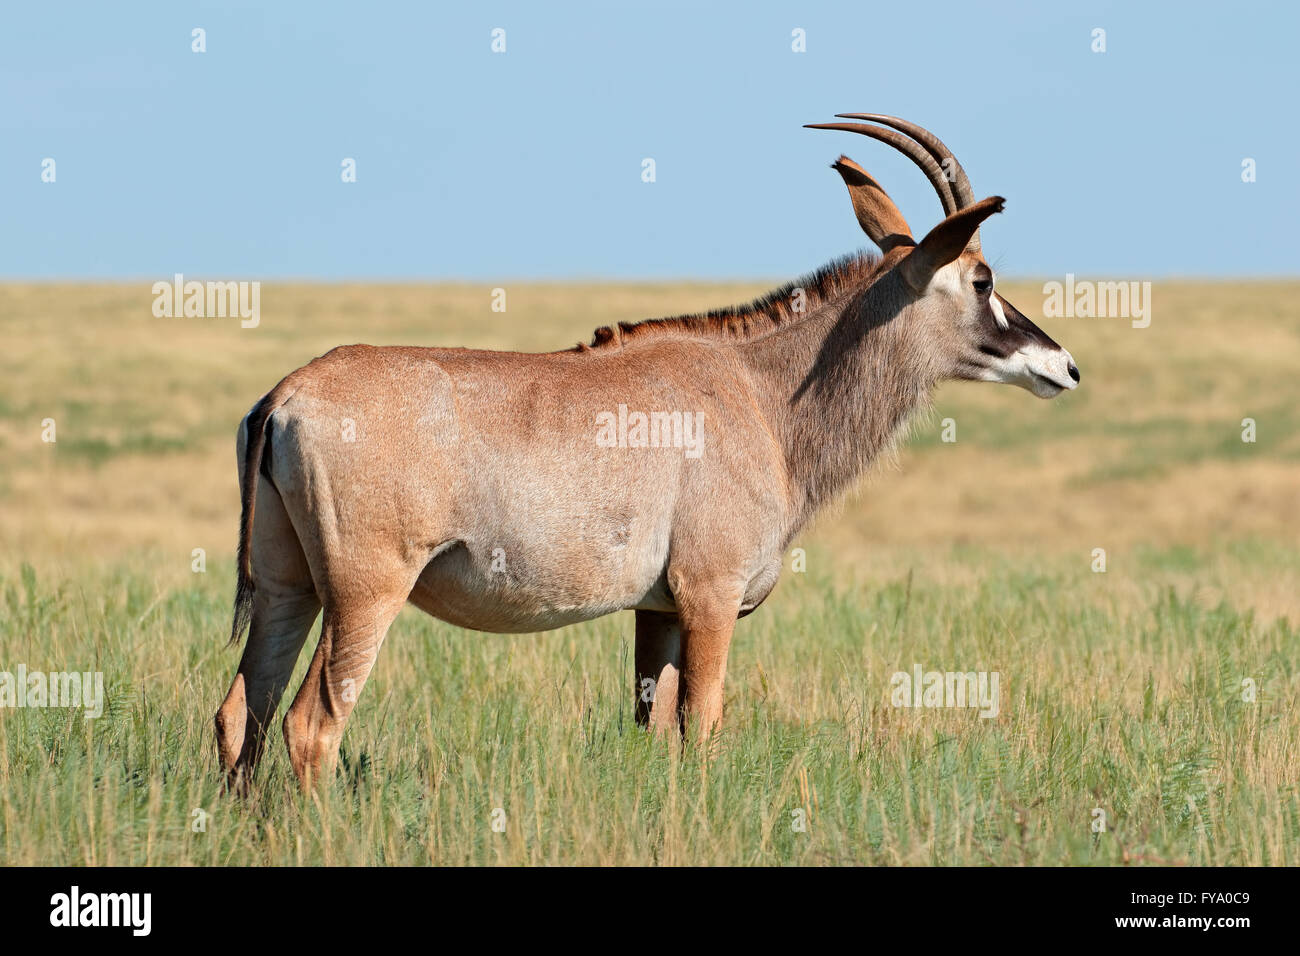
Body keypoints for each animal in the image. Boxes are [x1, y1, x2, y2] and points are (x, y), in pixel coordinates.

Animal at [215, 114, 1080, 791]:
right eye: (982, 278)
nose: (1064, 366)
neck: (761, 392)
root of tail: (285, 396)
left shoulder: (656, 610)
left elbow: (654, 734)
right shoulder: (709, 596)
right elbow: (704, 729)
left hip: (291, 590)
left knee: (240, 713)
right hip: (365, 593)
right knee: (311, 724)